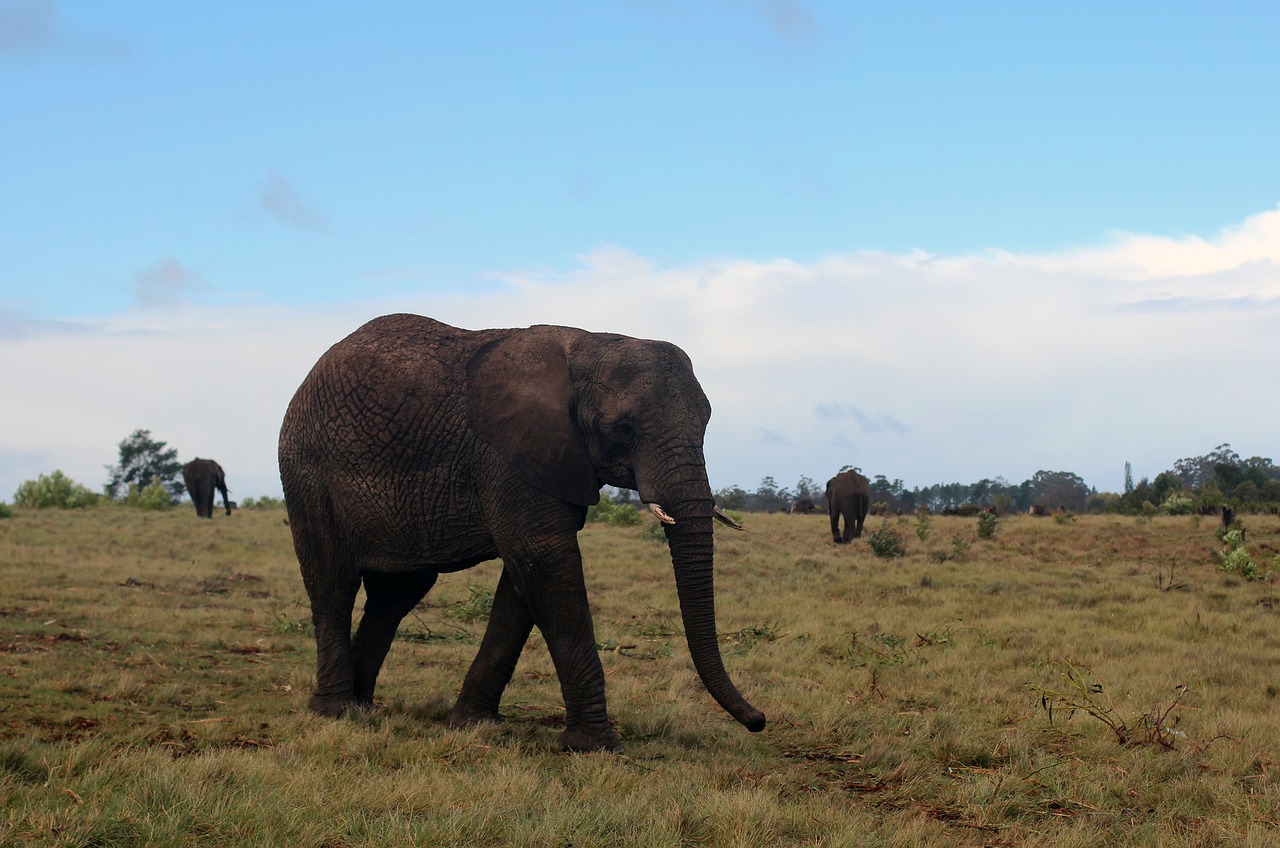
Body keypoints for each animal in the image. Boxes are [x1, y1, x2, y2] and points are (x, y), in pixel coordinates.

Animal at [276, 315, 762, 753]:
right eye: (623, 429)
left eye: (707, 423)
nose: (758, 721)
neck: (590, 344)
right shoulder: (507, 457)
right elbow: (547, 564)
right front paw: (595, 746)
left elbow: (523, 581)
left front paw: (472, 725)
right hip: (306, 471)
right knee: (333, 583)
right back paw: (336, 711)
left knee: (396, 594)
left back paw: (363, 707)